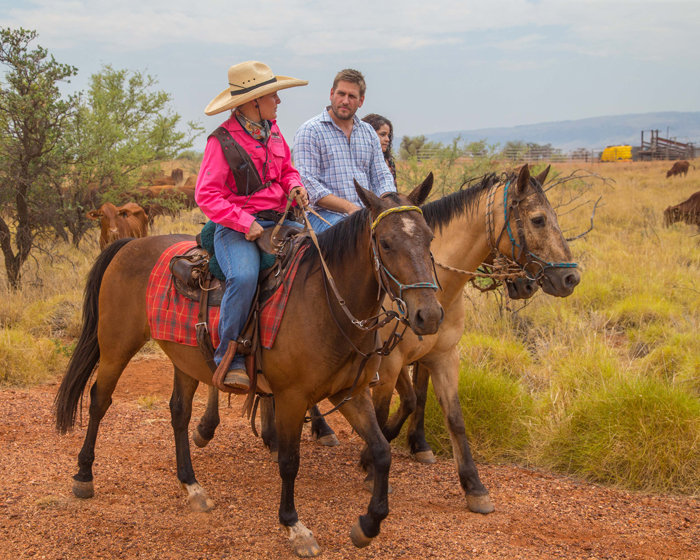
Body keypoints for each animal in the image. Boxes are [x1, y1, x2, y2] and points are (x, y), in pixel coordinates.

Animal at [53, 179, 442, 556]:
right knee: (99, 400)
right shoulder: (291, 398)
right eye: (386, 243)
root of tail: (129, 244)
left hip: (184, 359)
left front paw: (368, 524)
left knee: (179, 413)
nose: (429, 315)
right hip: (116, 346)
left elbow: (382, 452)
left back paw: (192, 485)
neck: (325, 300)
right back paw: (84, 476)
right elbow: (289, 461)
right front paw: (294, 526)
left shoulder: (352, 393)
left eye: (429, 238)